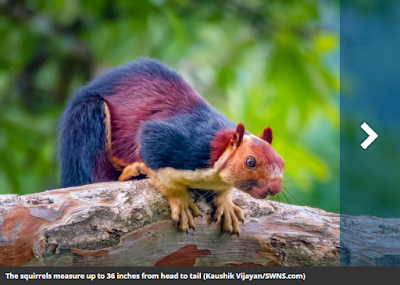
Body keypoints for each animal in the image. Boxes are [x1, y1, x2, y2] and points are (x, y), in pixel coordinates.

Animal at [58, 57, 284, 233]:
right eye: (250, 162)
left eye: (282, 162)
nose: (275, 187)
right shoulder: (175, 142)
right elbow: (157, 163)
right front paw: (180, 200)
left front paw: (226, 202)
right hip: (87, 120)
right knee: (95, 176)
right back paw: (131, 172)